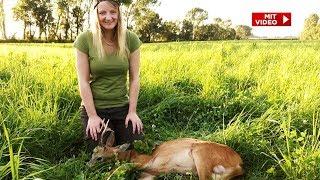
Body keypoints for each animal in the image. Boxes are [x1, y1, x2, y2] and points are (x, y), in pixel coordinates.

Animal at [87, 121, 242, 180]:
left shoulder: (145, 161)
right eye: (93, 152)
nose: (88, 165)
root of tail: (239, 163)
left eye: (99, 157)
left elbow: (119, 168)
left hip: (201, 153)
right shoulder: (148, 174)